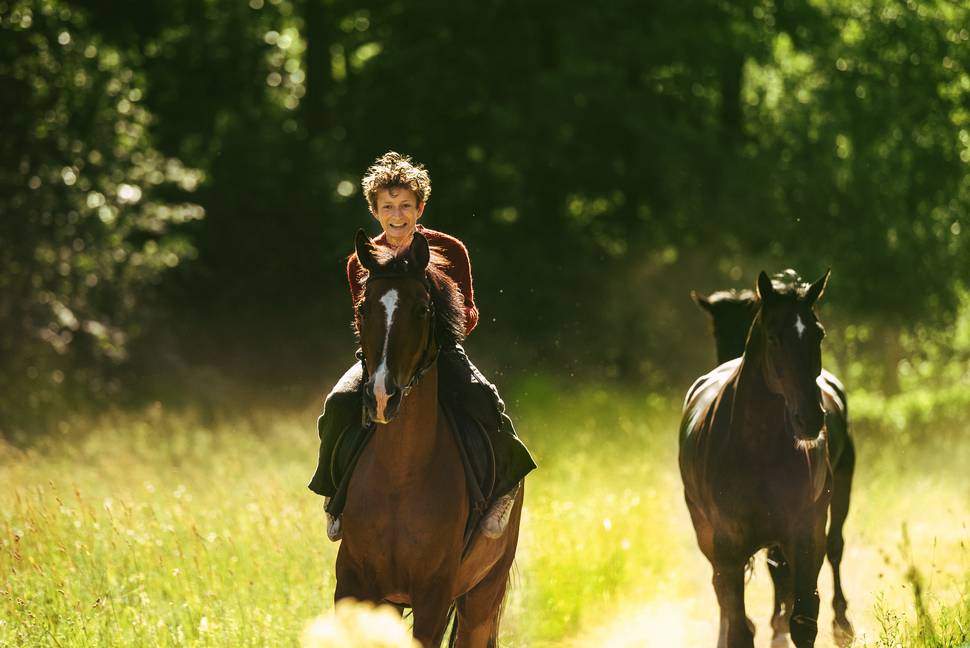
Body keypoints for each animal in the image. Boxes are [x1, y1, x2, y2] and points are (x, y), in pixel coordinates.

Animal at [336, 232, 524, 648]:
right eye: (363, 308)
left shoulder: (433, 597)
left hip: (482, 596)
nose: (381, 396)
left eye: (422, 310)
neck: (399, 478)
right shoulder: (353, 585)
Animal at [688, 284, 856, 648]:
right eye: (773, 337)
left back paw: (841, 622)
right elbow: (735, 610)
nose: (810, 418)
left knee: (834, 546)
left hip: (843, 486)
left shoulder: (803, 531)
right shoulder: (726, 542)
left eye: (819, 334)